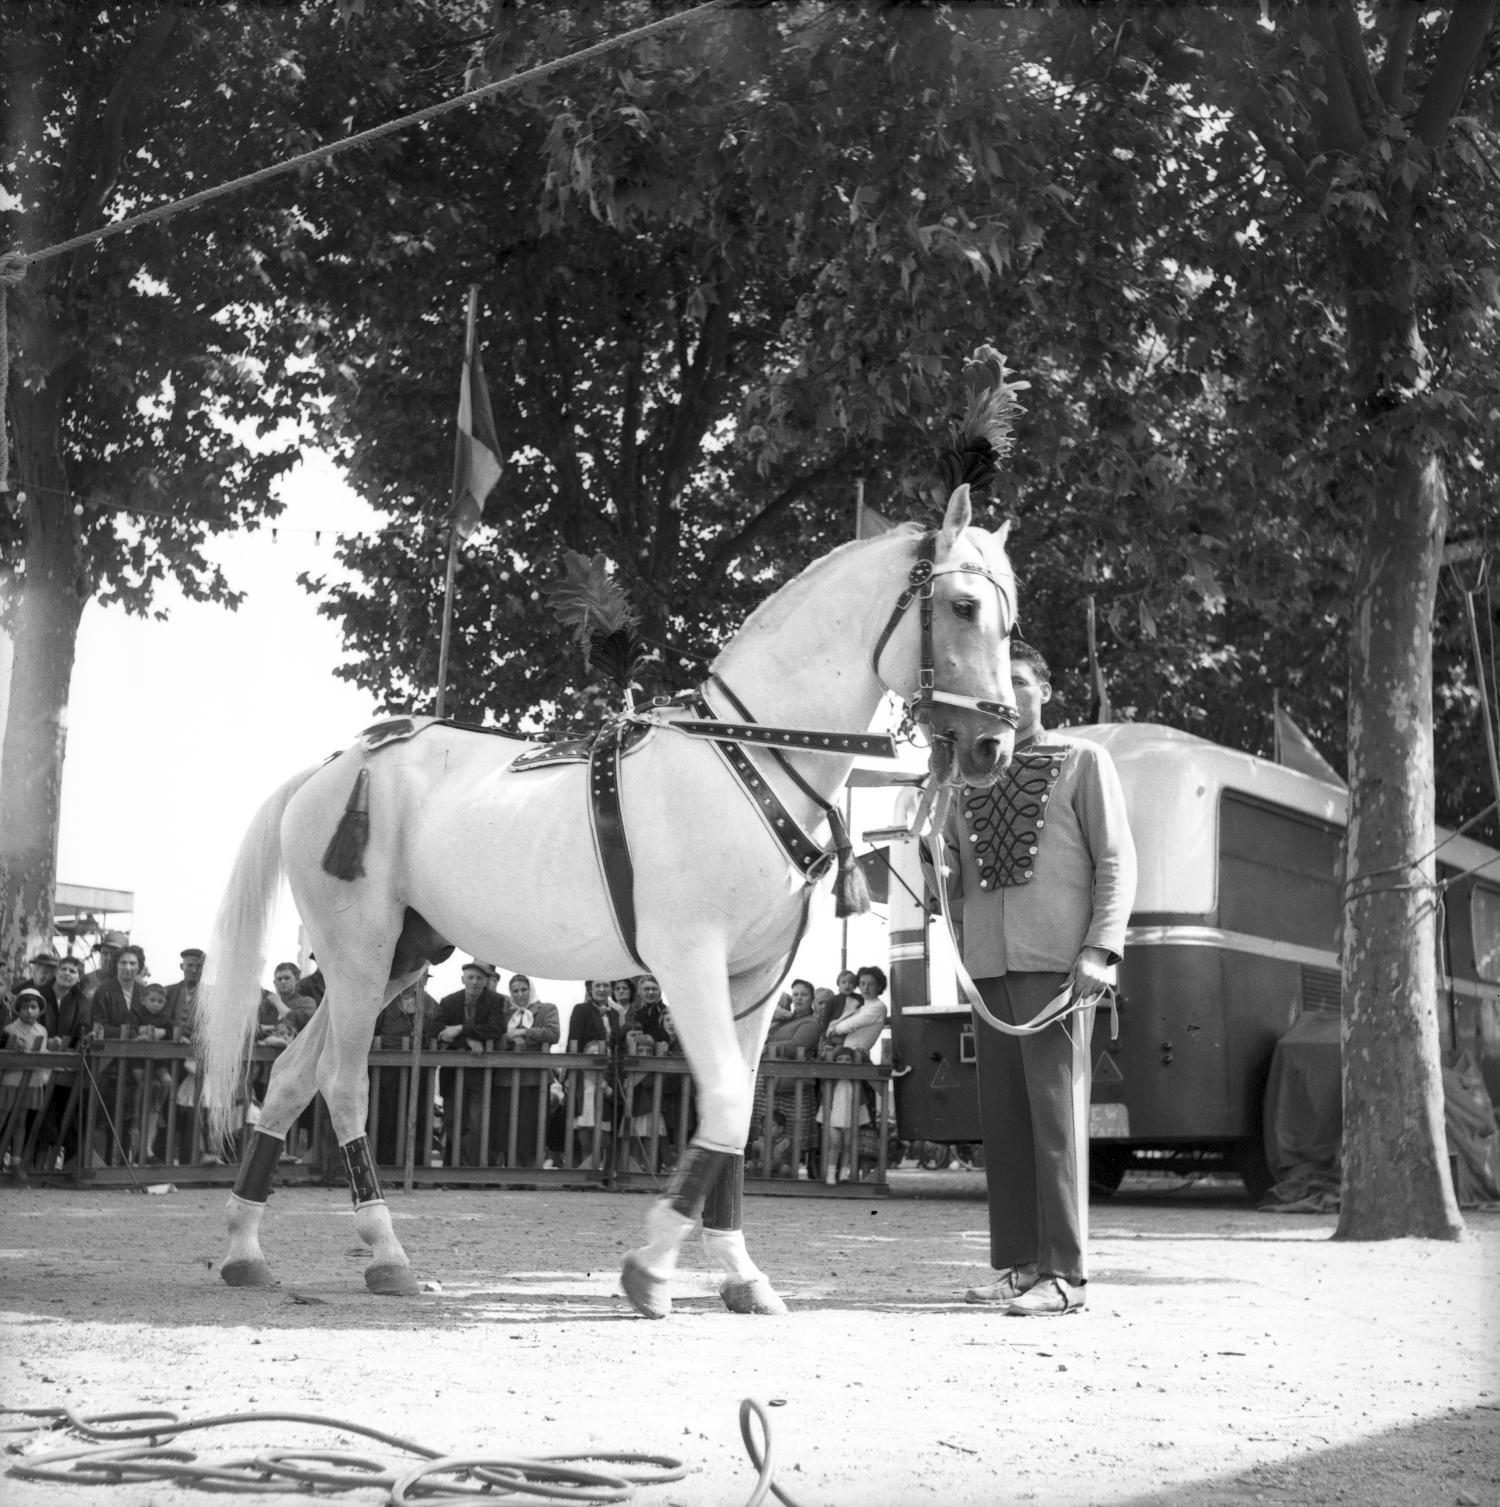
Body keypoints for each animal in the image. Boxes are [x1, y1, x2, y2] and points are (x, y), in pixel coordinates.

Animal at [192, 488, 1019, 1314]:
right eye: (964, 604)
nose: (994, 748)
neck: (749, 754)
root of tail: (332, 766)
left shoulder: (756, 980)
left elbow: (738, 1112)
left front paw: (740, 1273)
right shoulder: (689, 960)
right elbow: (723, 1101)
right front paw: (650, 1268)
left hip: (398, 955)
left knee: (290, 1076)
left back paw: (244, 1249)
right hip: (359, 952)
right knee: (340, 1083)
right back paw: (385, 1252)